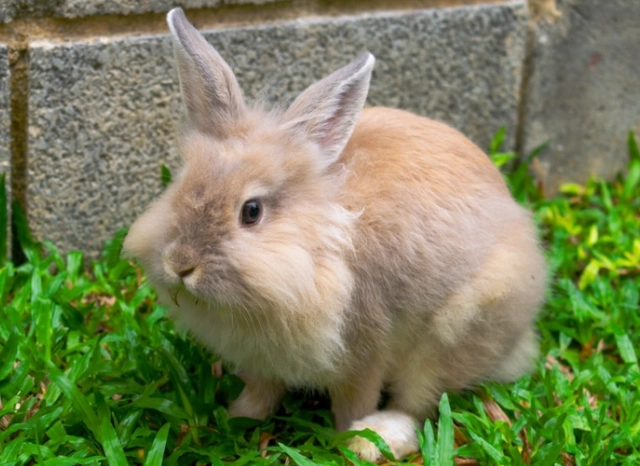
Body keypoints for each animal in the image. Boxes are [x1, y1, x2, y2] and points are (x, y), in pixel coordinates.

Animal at [123, 7, 547, 462]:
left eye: (251, 211)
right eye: (181, 184)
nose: (180, 265)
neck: (314, 249)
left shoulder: (363, 351)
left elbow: (354, 400)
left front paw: (347, 441)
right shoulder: (264, 361)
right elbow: (262, 392)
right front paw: (238, 418)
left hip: (456, 331)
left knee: (419, 402)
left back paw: (377, 437)